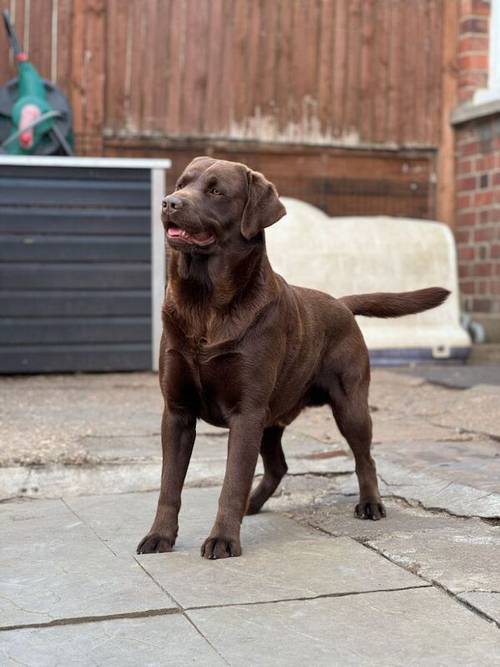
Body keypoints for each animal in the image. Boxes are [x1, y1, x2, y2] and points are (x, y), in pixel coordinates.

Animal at [137, 157, 450, 560]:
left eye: (216, 191)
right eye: (181, 184)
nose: (169, 203)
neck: (206, 302)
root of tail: (341, 303)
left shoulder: (246, 413)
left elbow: (231, 482)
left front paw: (223, 539)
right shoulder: (177, 413)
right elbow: (169, 486)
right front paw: (159, 535)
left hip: (349, 406)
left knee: (364, 457)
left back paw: (370, 504)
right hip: (271, 419)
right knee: (278, 467)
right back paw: (252, 504)